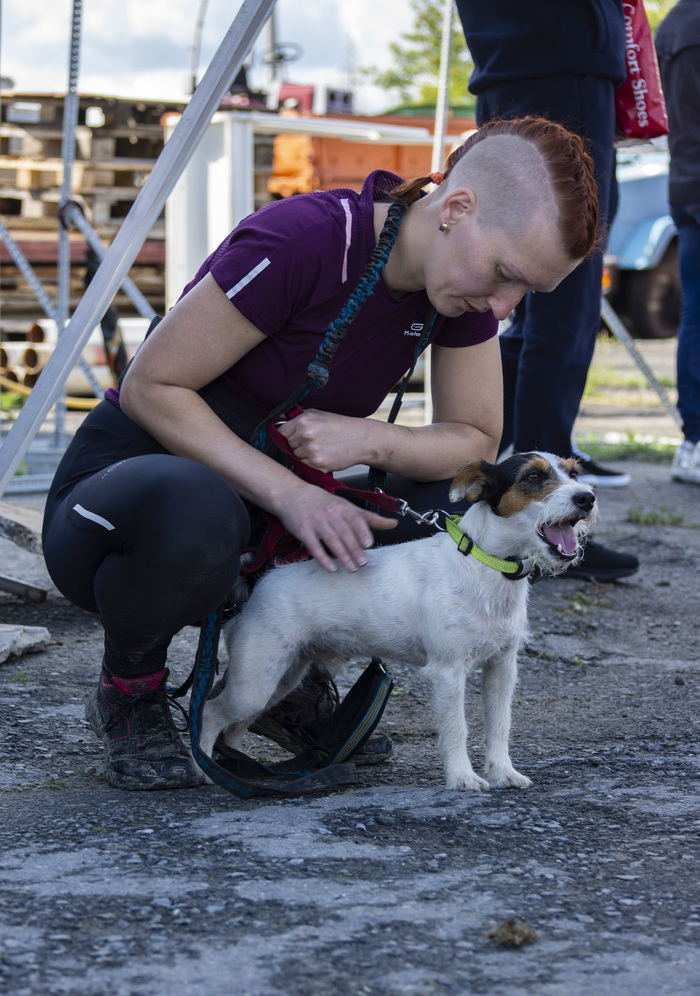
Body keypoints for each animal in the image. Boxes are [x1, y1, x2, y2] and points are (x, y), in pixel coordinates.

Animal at [200, 452, 597, 791]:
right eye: (533, 477)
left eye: (574, 473)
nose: (587, 498)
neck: (484, 564)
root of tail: (262, 578)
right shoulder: (448, 672)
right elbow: (457, 729)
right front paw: (462, 777)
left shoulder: (502, 668)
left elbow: (500, 726)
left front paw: (502, 772)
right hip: (255, 680)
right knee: (210, 712)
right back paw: (202, 767)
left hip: (280, 678)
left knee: (237, 725)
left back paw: (234, 765)